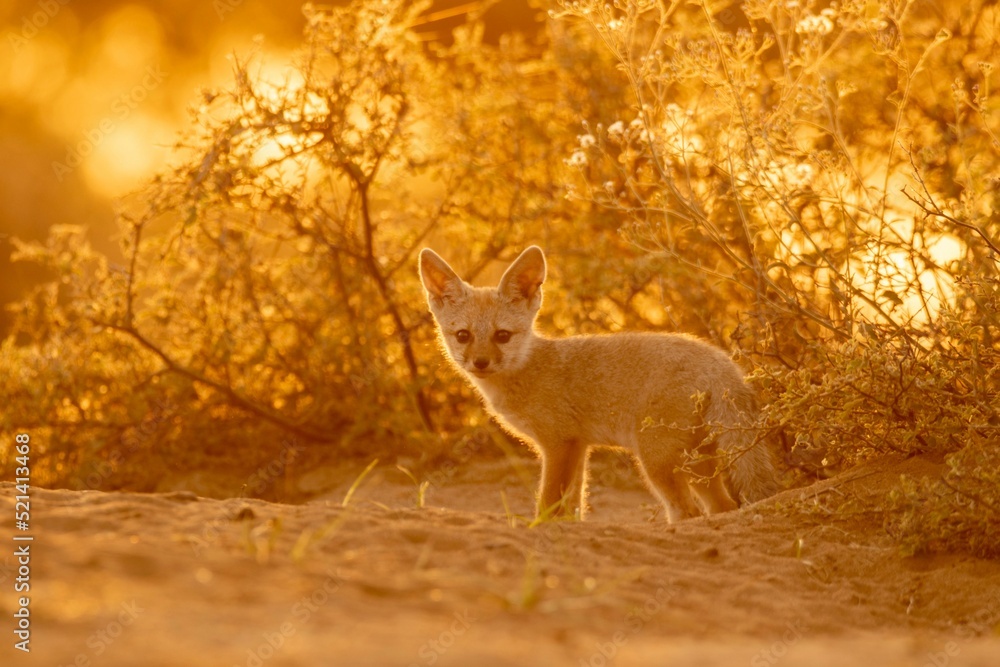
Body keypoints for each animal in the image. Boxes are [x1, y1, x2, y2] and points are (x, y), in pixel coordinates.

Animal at [418, 245, 776, 520]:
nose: (480, 363)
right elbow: (573, 507)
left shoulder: (558, 445)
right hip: (697, 466)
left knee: (688, 512)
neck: (530, 369)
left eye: (502, 336)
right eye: (463, 336)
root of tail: (721, 361)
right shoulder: (579, 446)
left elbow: (548, 505)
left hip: (656, 463)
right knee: (722, 507)